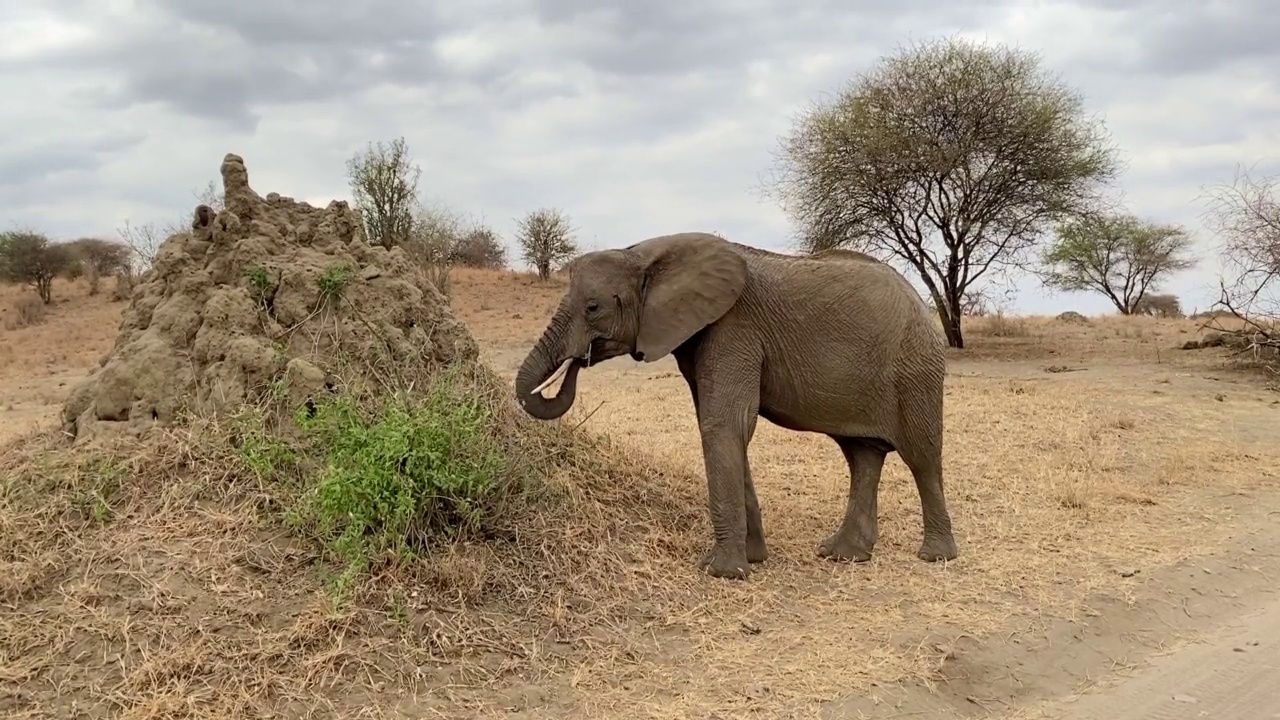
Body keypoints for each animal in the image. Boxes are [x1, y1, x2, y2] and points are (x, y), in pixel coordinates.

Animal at [514, 229, 957, 576]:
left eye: (593, 307)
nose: (579, 359)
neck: (645, 252)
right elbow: (722, 426)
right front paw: (754, 559)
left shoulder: (734, 328)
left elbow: (724, 424)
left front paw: (721, 572)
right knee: (861, 456)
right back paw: (842, 555)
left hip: (916, 367)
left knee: (922, 456)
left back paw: (935, 556)